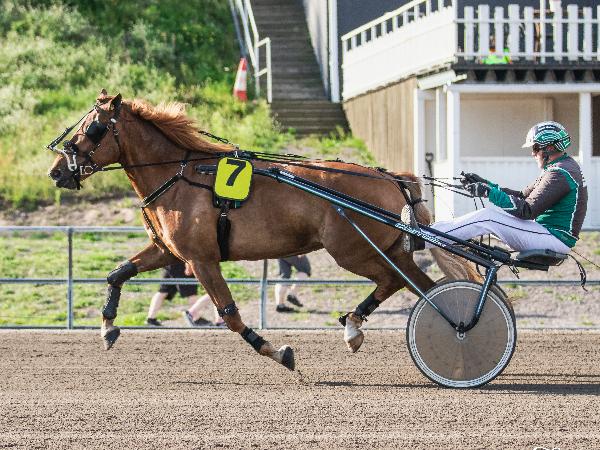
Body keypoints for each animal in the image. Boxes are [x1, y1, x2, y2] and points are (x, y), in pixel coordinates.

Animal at [47, 90, 479, 371]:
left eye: (93, 128)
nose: (56, 171)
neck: (179, 175)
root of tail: (389, 176)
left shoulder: (201, 260)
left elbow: (231, 316)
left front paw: (277, 351)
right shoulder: (170, 253)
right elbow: (117, 273)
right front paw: (107, 327)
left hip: (353, 250)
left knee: (399, 282)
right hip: (385, 248)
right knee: (419, 284)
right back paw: (364, 329)